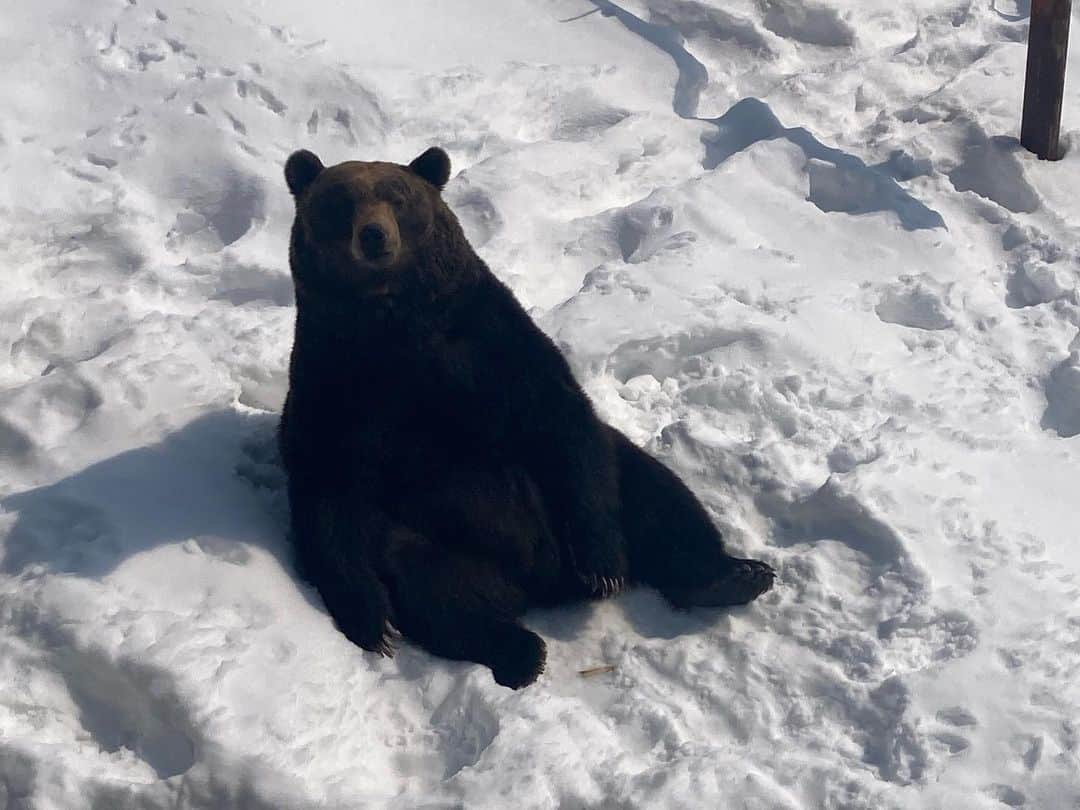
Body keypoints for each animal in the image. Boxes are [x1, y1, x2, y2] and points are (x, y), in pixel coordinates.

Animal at [274, 147, 773, 691]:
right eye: (341, 200)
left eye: (398, 196)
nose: (374, 235)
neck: (396, 324)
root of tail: (542, 584)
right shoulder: (337, 387)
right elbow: (328, 495)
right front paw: (373, 621)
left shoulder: (488, 347)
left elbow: (560, 419)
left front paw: (603, 565)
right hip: (438, 540)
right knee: (433, 587)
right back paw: (519, 652)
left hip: (605, 476)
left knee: (656, 494)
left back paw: (733, 576)